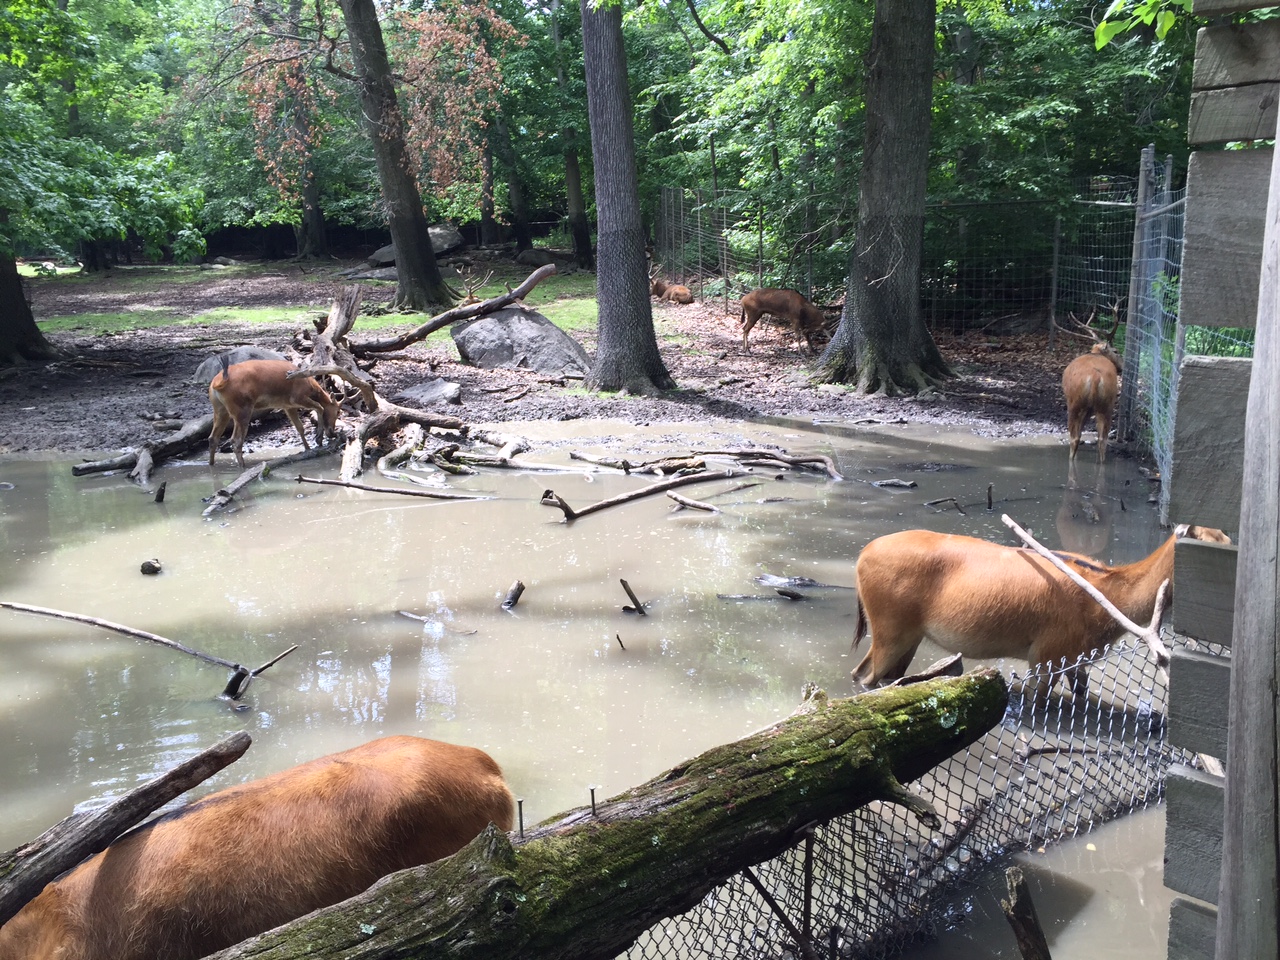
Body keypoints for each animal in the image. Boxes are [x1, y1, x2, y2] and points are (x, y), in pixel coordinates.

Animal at [208, 357, 340, 468]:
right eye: (338, 412)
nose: (332, 433)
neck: (311, 386)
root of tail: (217, 383)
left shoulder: (288, 405)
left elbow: (300, 427)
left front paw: (308, 448)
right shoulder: (297, 398)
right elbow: (320, 407)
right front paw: (318, 439)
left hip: (220, 409)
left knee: (213, 438)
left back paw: (211, 465)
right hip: (242, 408)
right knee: (236, 441)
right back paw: (243, 467)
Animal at [849, 524, 1230, 695]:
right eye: (1212, 541)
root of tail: (861, 556)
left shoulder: (1075, 657)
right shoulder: (1046, 652)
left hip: (906, 634)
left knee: (876, 674)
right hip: (890, 626)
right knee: (865, 676)